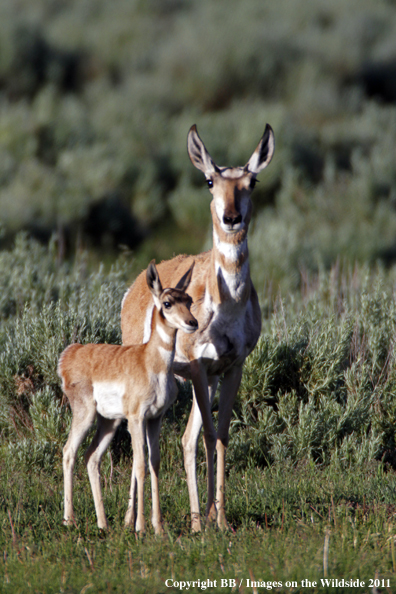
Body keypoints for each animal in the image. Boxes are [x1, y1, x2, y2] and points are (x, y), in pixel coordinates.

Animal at [58, 260, 196, 532]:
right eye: (167, 302)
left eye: (189, 300)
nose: (192, 322)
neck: (150, 361)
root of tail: (72, 352)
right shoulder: (136, 418)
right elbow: (140, 464)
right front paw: (140, 526)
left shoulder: (155, 419)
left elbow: (154, 463)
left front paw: (158, 527)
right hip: (86, 415)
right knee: (69, 452)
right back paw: (69, 520)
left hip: (109, 422)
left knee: (91, 457)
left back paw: (103, 524)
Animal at [121, 122, 276, 528]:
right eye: (209, 181)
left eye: (252, 181)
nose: (231, 217)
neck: (228, 306)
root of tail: (135, 287)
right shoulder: (199, 367)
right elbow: (208, 435)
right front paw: (210, 520)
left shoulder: (231, 368)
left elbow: (219, 436)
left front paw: (218, 518)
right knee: (150, 439)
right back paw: (132, 519)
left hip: (196, 382)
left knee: (185, 439)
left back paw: (191, 517)